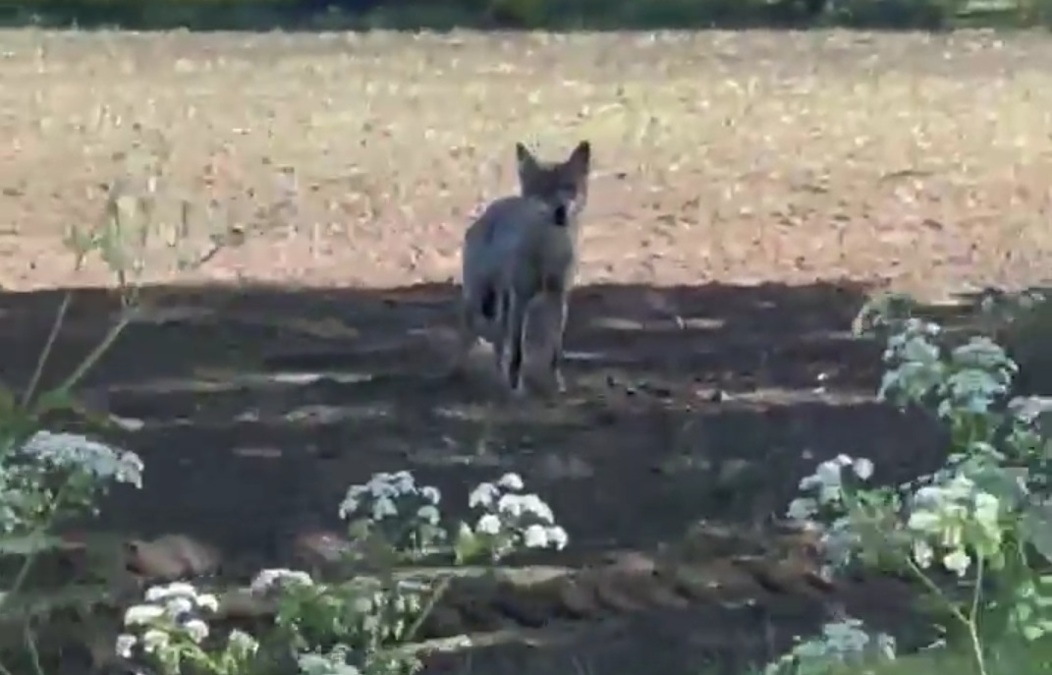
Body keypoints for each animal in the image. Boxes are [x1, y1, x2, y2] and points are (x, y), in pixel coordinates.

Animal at [452, 140, 592, 395]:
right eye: (542, 190)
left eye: (569, 187)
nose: (560, 211)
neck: (548, 251)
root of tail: (488, 211)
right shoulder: (522, 298)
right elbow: (518, 353)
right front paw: (517, 389)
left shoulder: (558, 297)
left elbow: (555, 352)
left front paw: (557, 384)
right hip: (479, 296)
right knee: (468, 328)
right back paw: (459, 370)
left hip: (504, 303)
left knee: (499, 340)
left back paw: (498, 375)